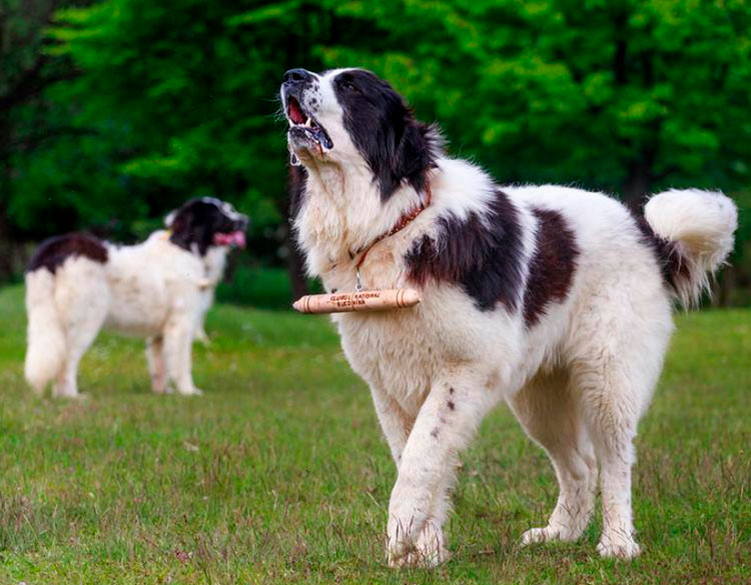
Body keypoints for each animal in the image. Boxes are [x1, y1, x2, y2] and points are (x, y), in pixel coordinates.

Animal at [22, 196, 247, 396]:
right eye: (219, 214)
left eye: (229, 208)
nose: (245, 220)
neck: (188, 246)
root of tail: (54, 248)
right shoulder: (182, 324)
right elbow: (182, 363)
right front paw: (188, 391)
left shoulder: (160, 333)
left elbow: (160, 365)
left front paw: (163, 392)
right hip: (86, 320)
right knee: (67, 361)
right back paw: (71, 396)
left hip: (44, 314)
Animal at [280, 68, 736, 564]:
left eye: (350, 87)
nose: (292, 75)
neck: (395, 224)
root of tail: (647, 234)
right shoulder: (390, 386)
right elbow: (419, 458)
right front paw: (427, 552)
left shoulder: (464, 369)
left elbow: (422, 455)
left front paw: (401, 530)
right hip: (539, 397)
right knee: (580, 465)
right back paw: (558, 534)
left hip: (606, 376)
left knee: (615, 460)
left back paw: (617, 542)